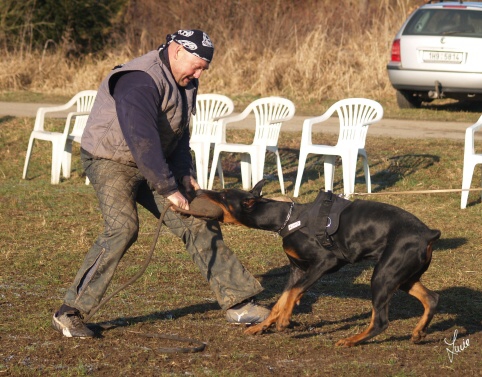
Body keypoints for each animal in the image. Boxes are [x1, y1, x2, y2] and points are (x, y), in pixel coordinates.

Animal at [198, 180, 442, 346]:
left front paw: (284, 321)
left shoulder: (325, 262)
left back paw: (351, 340)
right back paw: (418, 332)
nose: (198, 190)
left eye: (223, 195)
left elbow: (294, 292)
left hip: (383, 275)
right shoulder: (297, 269)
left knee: (381, 321)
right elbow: (282, 298)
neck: (286, 219)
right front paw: (262, 326)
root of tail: (428, 234)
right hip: (402, 276)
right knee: (431, 298)